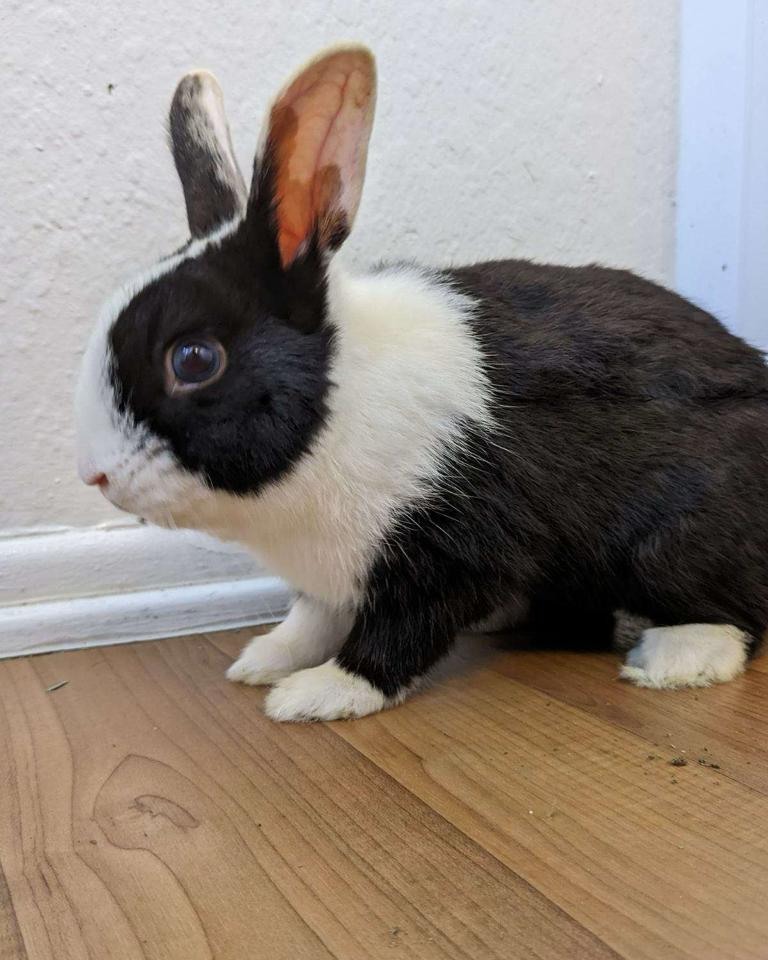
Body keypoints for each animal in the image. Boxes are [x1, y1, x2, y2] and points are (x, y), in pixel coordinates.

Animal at [76, 44, 768, 722]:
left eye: (194, 359)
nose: (94, 476)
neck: (340, 406)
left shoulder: (449, 549)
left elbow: (400, 633)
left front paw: (318, 694)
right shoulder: (332, 581)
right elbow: (311, 619)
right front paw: (265, 660)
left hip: (674, 542)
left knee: (735, 615)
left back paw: (671, 661)